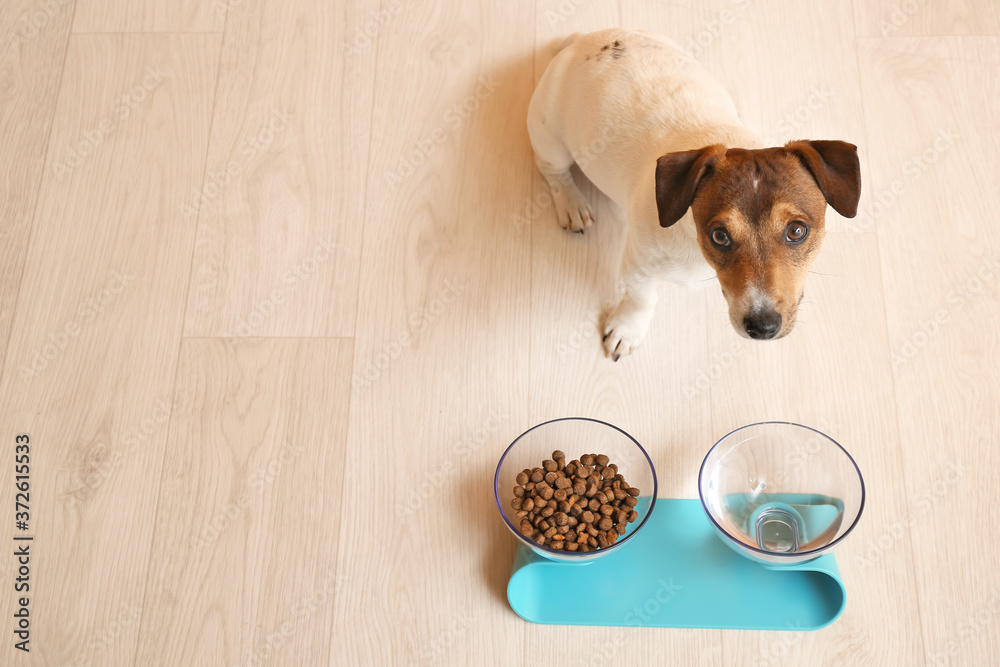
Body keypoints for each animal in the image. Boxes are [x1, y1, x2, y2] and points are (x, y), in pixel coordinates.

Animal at [528, 28, 864, 360]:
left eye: (796, 231)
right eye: (719, 236)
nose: (762, 326)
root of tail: (583, 40)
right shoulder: (638, 266)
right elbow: (641, 299)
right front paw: (628, 329)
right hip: (551, 139)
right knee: (552, 171)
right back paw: (571, 203)